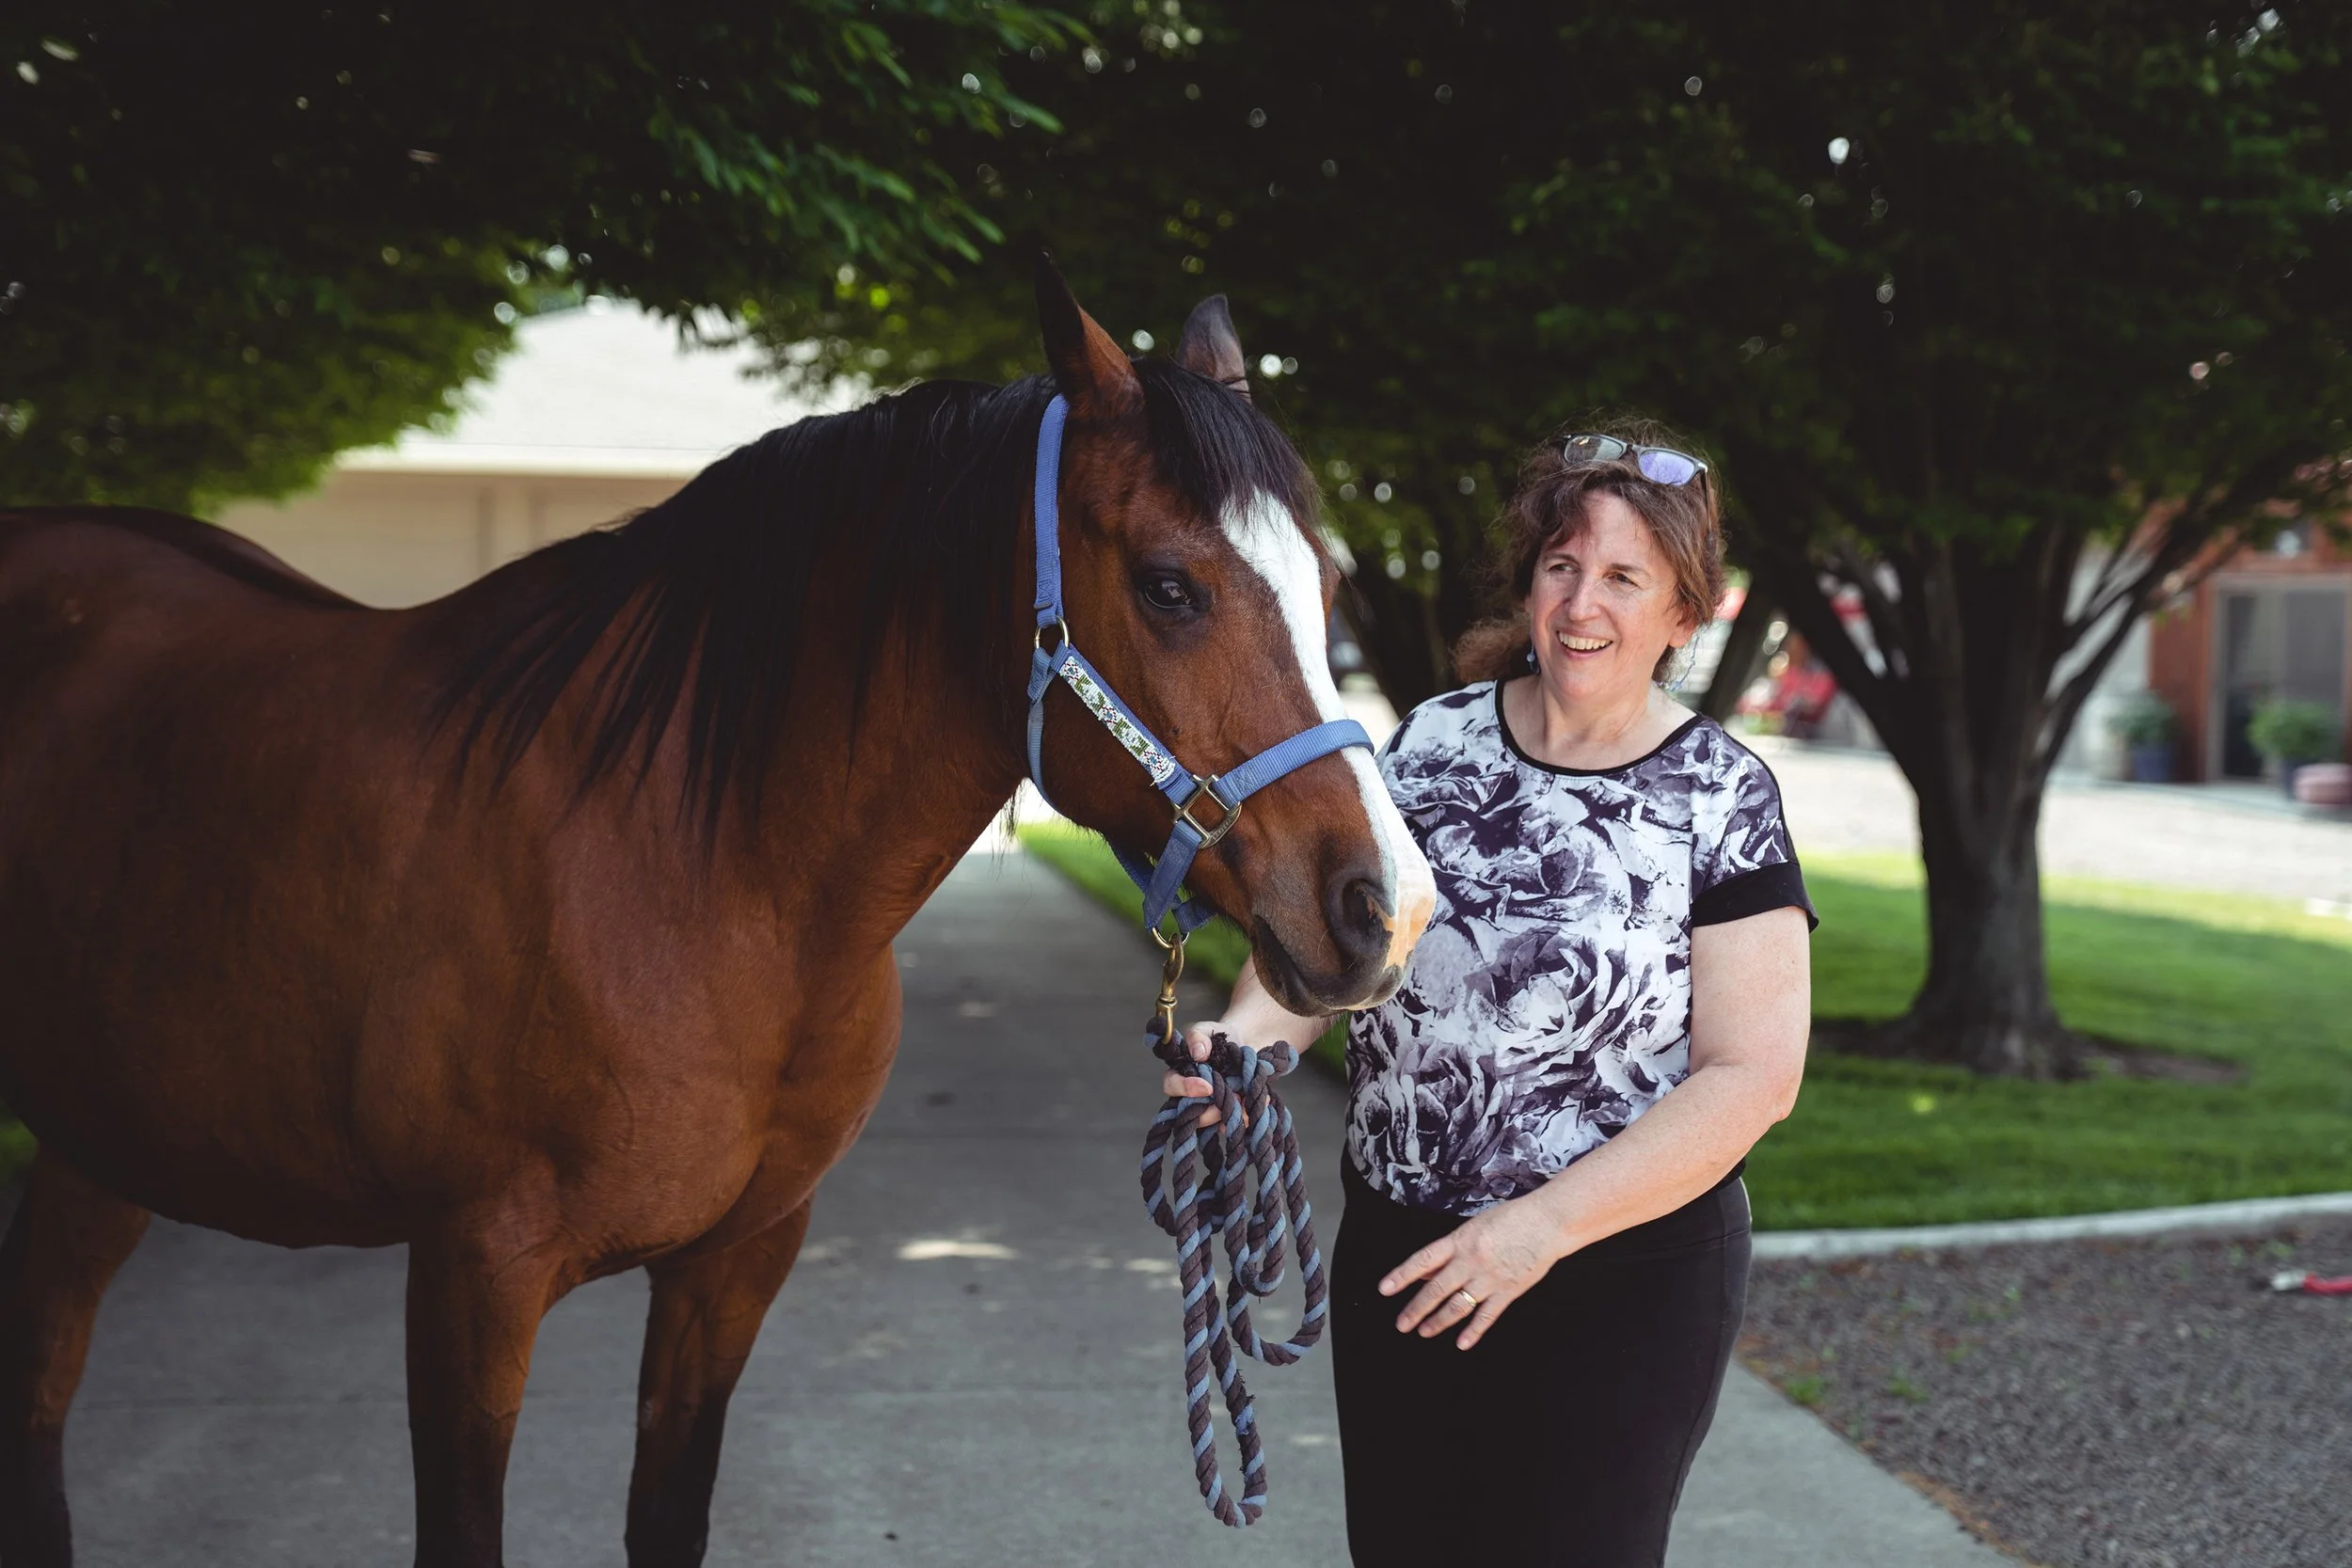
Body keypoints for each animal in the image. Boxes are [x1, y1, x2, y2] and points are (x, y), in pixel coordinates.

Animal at [0, 261, 1435, 1568]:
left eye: (1326, 586)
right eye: (1169, 585)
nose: (1388, 905)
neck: (704, 873)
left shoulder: (737, 1258)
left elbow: (669, 1515)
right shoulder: (470, 1278)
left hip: (97, 1141)